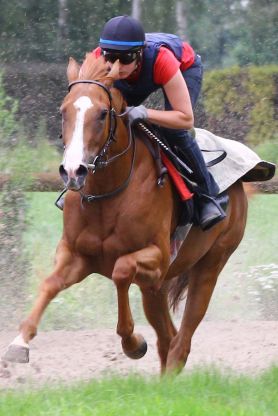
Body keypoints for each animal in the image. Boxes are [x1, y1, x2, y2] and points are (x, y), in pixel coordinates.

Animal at [3, 55, 248, 374]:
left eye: (102, 113)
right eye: (62, 111)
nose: (72, 171)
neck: (108, 194)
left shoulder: (157, 258)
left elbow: (120, 271)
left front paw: (133, 343)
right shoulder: (76, 255)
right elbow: (49, 284)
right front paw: (19, 342)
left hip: (210, 263)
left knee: (181, 340)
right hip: (156, 287)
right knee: (167, 338)